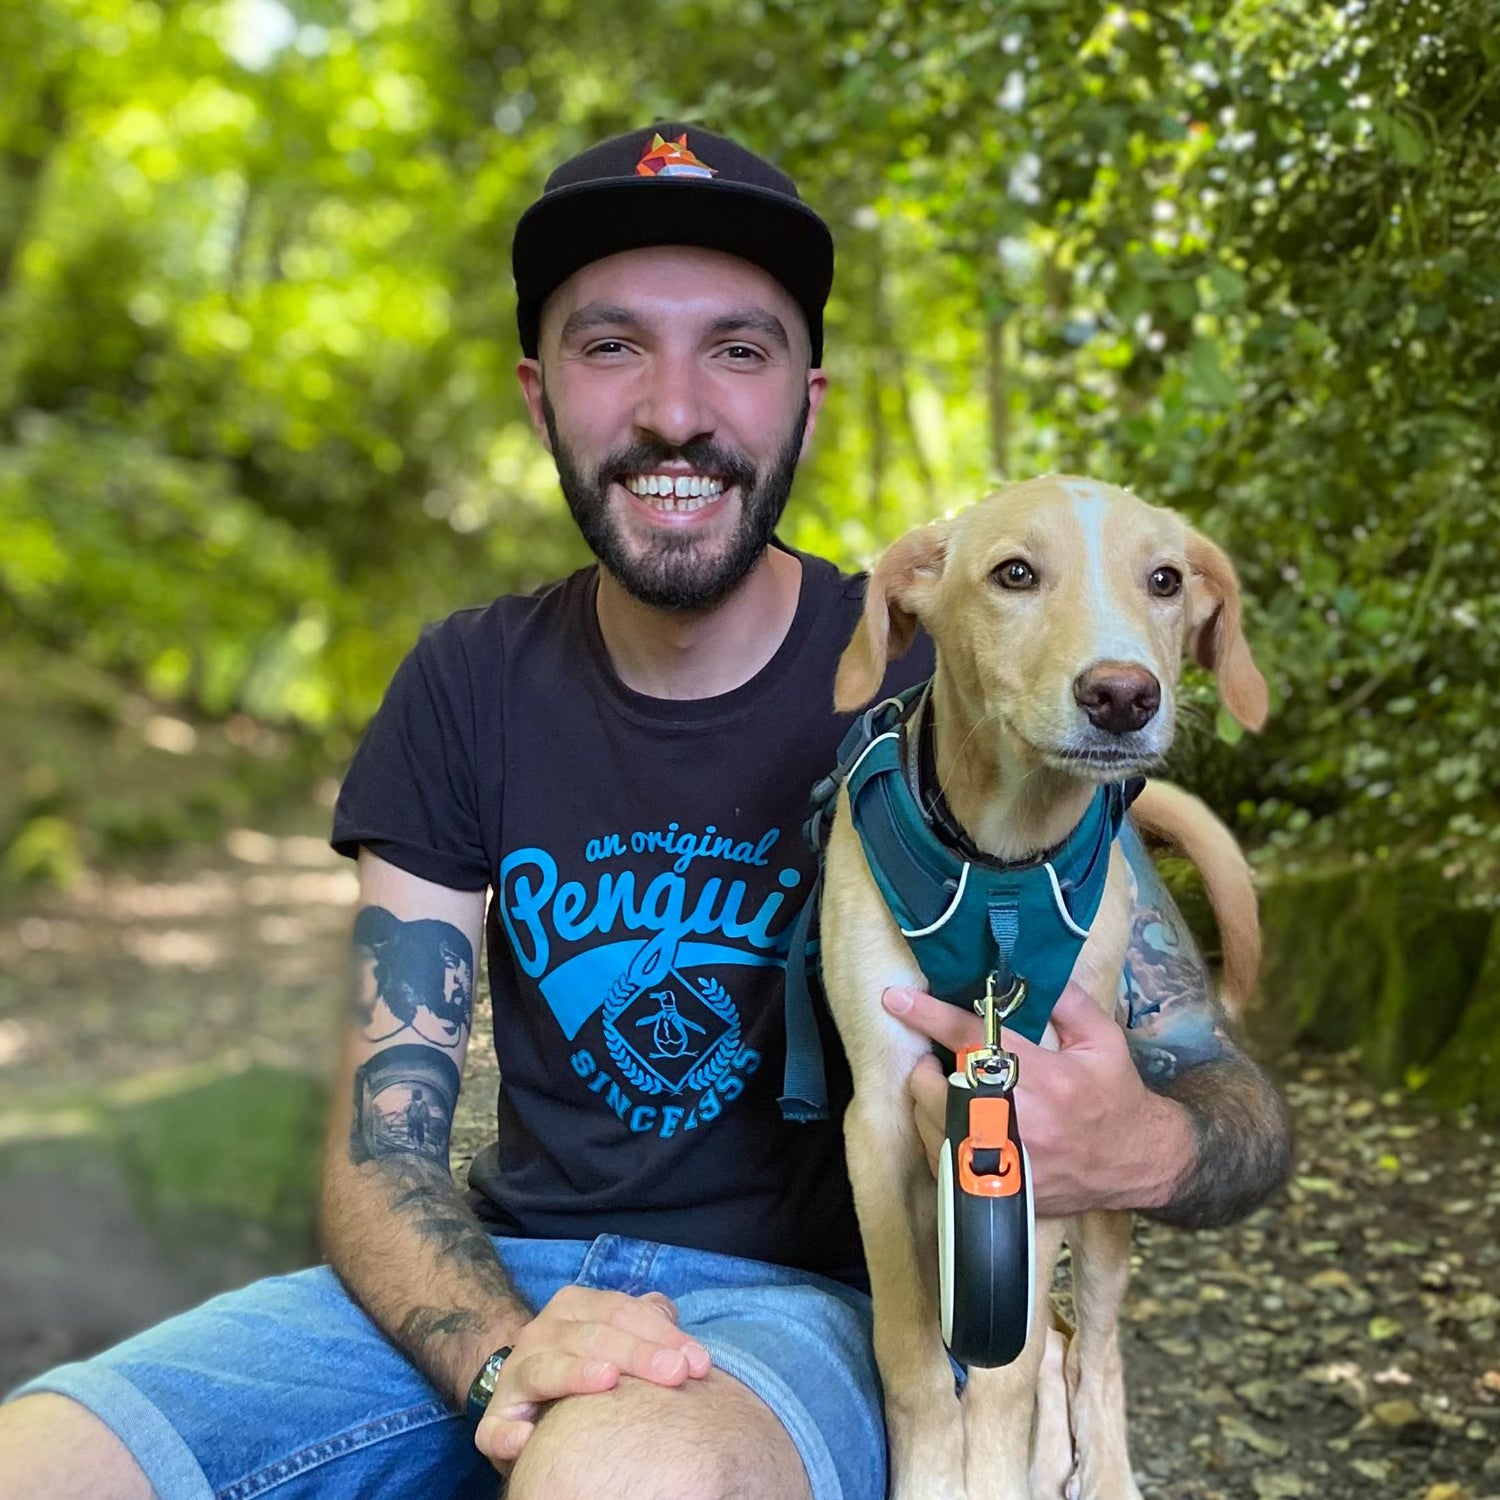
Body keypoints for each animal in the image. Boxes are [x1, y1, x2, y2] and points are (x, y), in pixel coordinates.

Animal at [817, 475, 1268, 1500]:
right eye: (1014, 574)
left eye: (1166, 580)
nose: (1123, 695)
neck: (1001, 866)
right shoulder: (877, 1120)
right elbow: (913, 1358)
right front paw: (932, 1477)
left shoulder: (1047, 1127)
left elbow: (1007, 1373)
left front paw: (994, 1473)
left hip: (1107, 1203)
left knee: (1087, 1345)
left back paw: (1094, 1467)